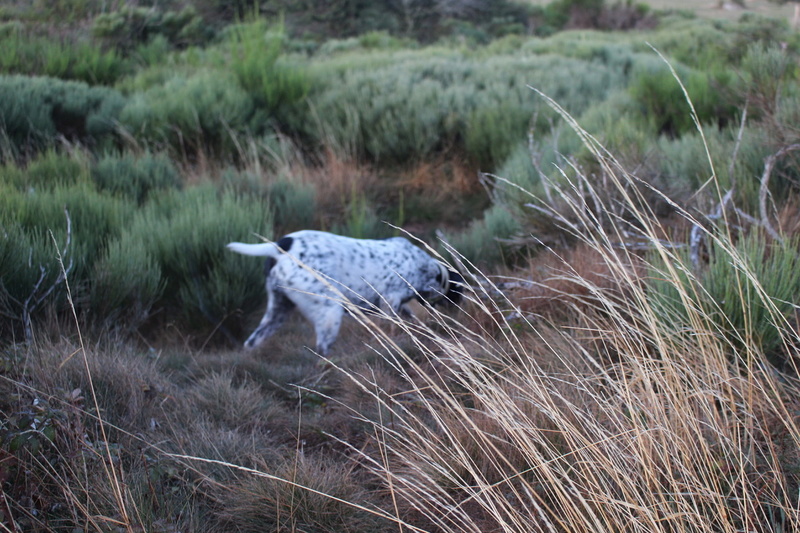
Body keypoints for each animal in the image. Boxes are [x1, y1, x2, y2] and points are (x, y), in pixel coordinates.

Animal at [225, 229, 462, 354]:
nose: (458, 313)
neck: (427, 269)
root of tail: (282, 246)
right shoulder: (390, 301)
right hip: (330, 312)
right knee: (322, 350)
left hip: (277, 312)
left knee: (251, 343)